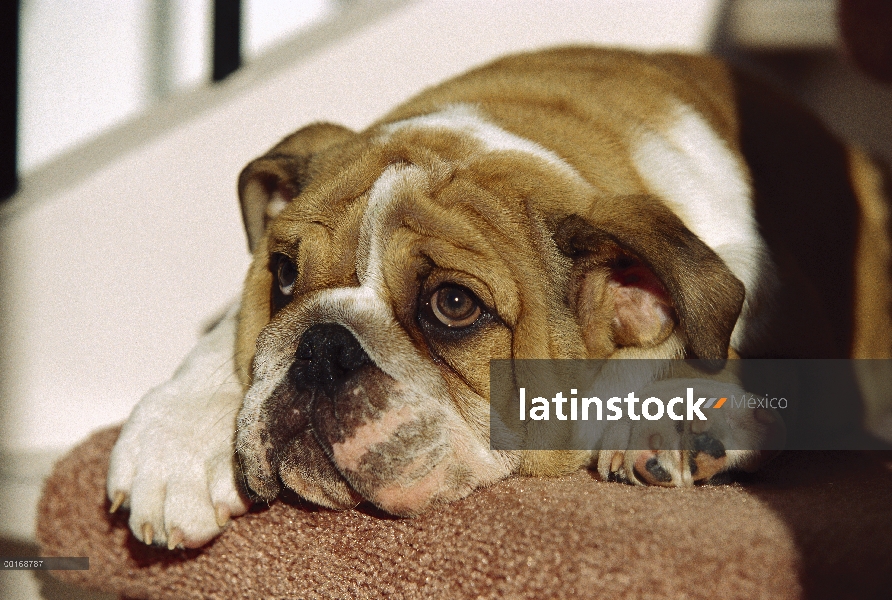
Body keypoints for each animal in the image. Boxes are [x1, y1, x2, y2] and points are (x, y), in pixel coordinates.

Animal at [104, 47, 884, 548]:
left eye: (454, 307)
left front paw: (675, 414)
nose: (323, 347)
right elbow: (228, 337)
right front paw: (175, 441)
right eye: (286, 274)